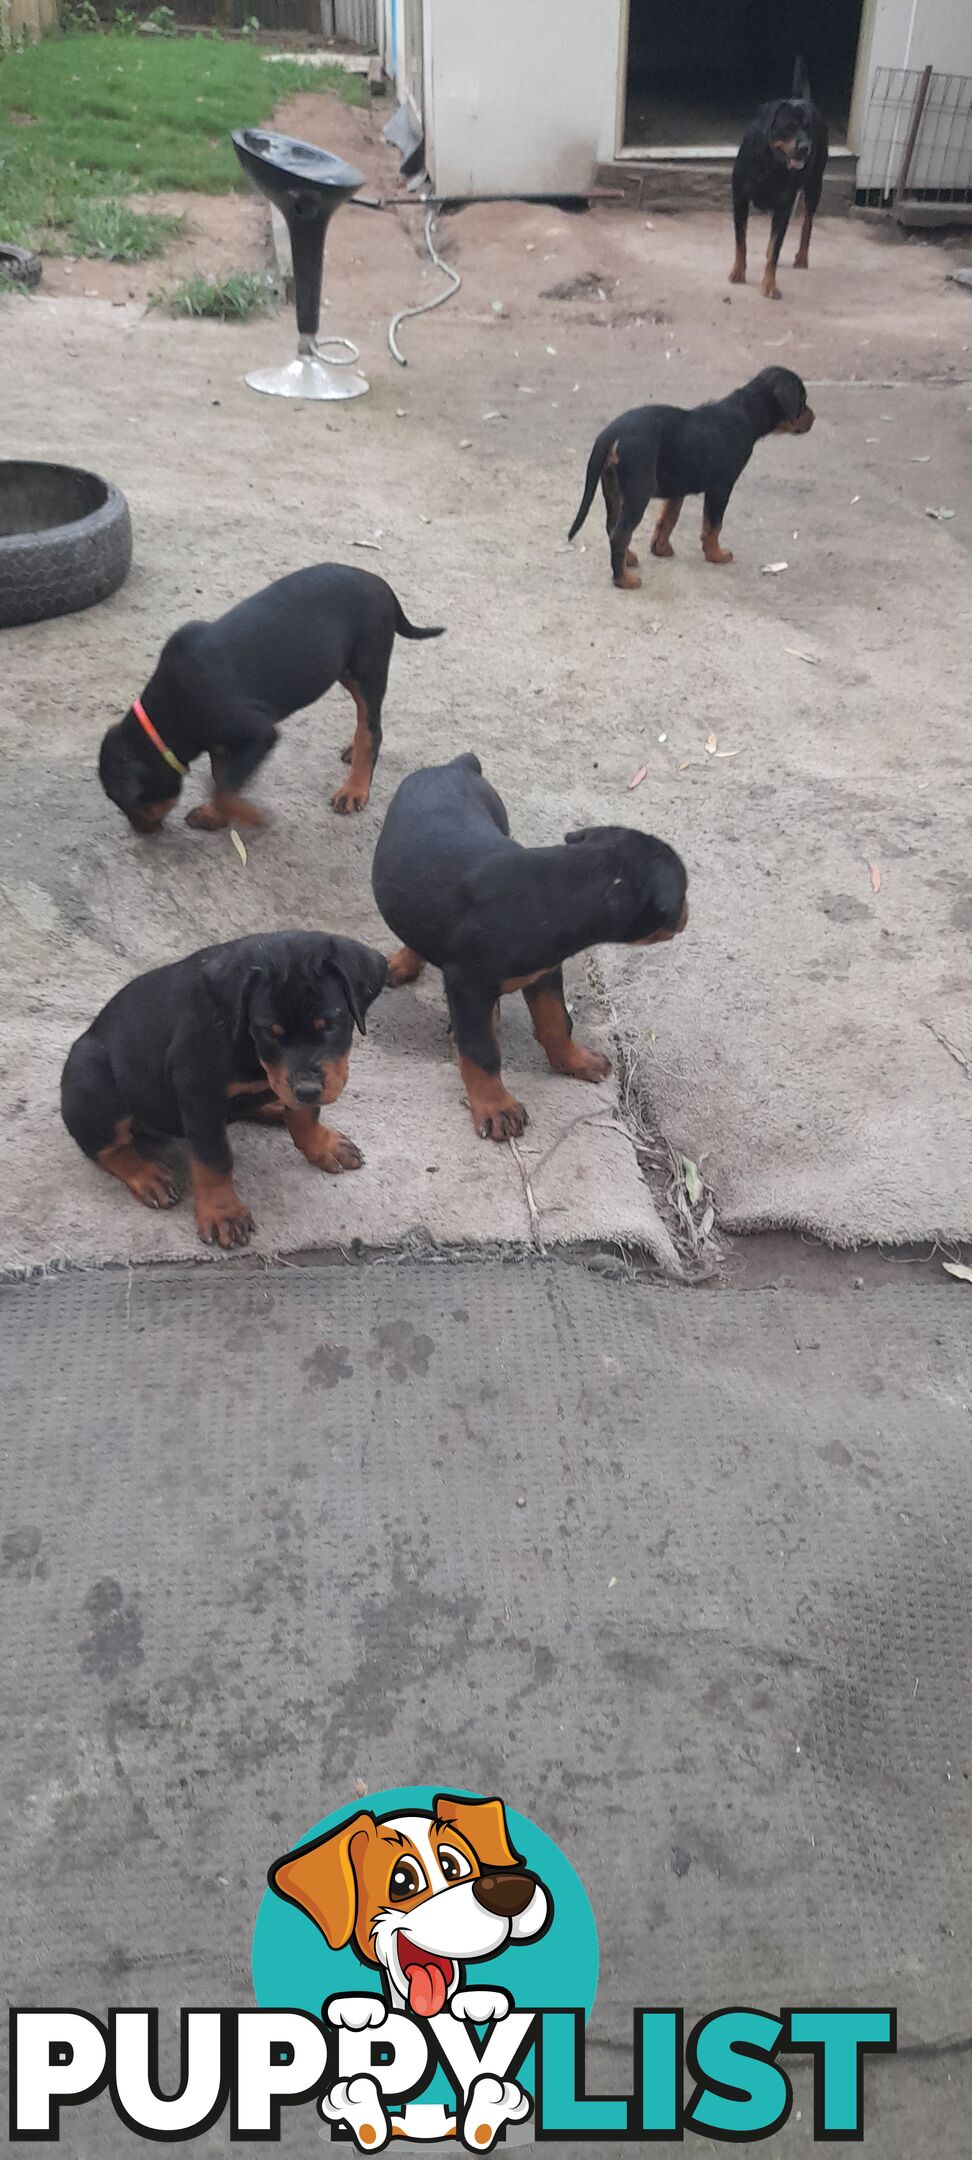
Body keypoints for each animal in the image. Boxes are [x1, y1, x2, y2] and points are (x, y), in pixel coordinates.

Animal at [58, 928, 386, 1252]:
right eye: (269, 1031)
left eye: (329, 1023)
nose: (307, 1090)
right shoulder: (199, 1090)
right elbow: (213, 1158)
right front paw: (222, 1213)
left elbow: (305, 1116)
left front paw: (322, 1145)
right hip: (90, 1078)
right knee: (106, 1148)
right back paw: (148, 1174)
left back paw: (274, 1110)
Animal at [96, 565, 447, 833]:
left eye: (131, 802)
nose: (140, 832)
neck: (167, 715)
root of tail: (379, 582)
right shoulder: (222, 741)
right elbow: (224, 778)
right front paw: (219, 816)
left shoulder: (259, 732)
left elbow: (224, 788)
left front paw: (248, 816)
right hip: (342, 668)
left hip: (368, 666)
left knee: (371, 729)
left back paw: (354, 790)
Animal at [369, 751, 686, 1140]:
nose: (687, 913)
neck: (557, 889)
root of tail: (455, 765)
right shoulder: (468, 983)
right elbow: (481, 1053)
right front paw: (496, 1107)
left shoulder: (544, 971)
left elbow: (556, 1021)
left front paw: (575, 1061)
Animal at [565, 367, 816, 591]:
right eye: (802, 400)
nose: (813, 418)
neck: (747, 411)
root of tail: (611, 433)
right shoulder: (721, 487)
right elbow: (713, 525)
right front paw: (716, 554)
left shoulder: (678, 489)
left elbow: (668, 519)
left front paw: (661, 548)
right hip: (639, 490)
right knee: (619, 534)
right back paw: (624, 580)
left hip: (611, 487)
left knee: (613, 526)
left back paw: (628, 560)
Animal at [730, 58, 829, 300]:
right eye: (789, 126)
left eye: (808, 128)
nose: (805, 147)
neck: (770, 163)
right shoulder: (740, 200)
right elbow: (741, 241)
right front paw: (738, 272)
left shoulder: (783, 206)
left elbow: (775, 250)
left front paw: (769, 285)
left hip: (815, 185)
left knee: (807, 222)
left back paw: (802, 257)